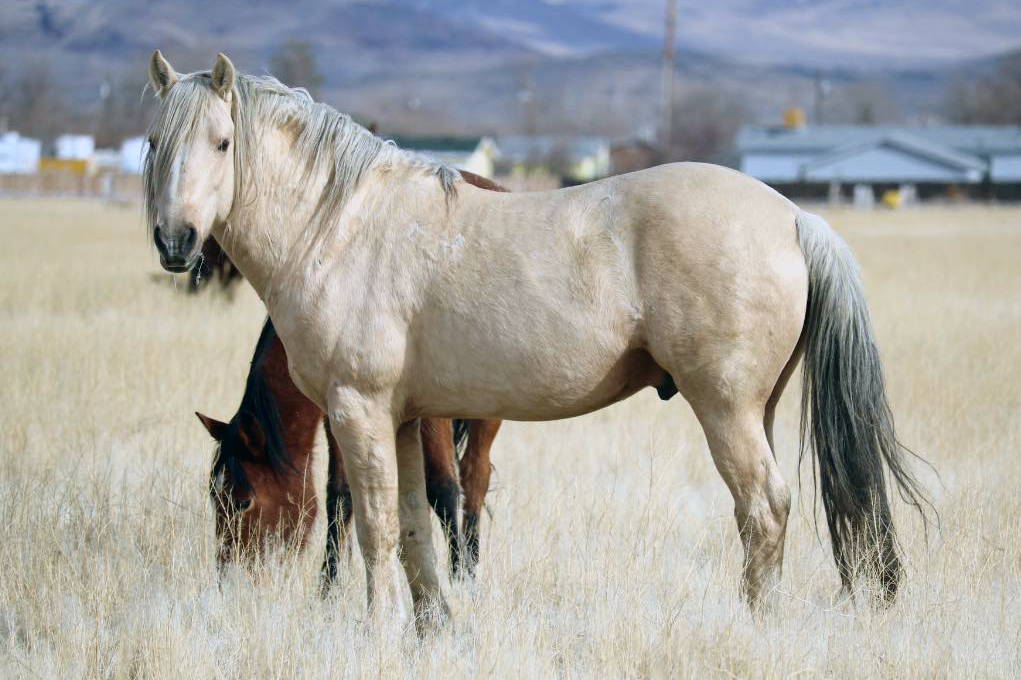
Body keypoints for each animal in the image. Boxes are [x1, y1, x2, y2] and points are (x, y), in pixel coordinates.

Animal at [195, 318, 501, 581]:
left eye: (243, 502)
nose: (228, 578)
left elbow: (443, 488)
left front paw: (458, 578)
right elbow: (340, 496)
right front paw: (328, 589)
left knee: (475, 477)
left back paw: (470, 568)